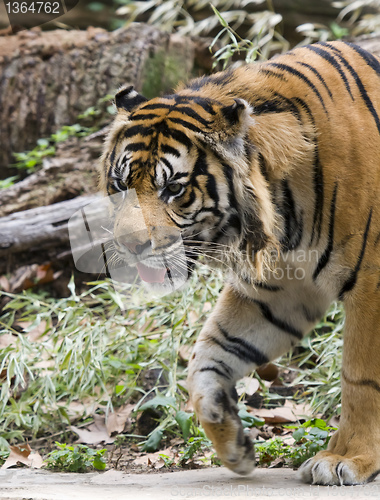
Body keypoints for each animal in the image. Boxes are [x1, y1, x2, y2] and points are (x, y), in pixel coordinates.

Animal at [98, 41, 380, 486]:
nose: (130, 244)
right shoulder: (278, 290)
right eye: (121, 184)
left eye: (172, 188)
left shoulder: (371, 284)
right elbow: (208, 357)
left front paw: (347, 458)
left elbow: (361, 379)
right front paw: (233, 443)